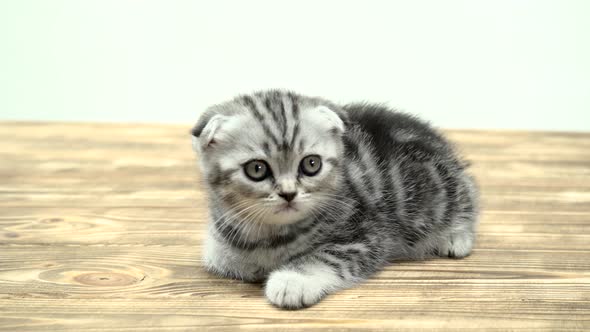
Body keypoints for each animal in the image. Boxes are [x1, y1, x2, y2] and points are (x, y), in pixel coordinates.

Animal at [194, 90, 480, 308]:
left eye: (311, 164)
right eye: (257, 169)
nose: (288, 193)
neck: (272, 234)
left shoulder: (367, 236)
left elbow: (326, 256)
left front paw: (292, 280)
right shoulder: (220, 238)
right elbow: (221, 256)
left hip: (442, 193)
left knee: (468, 196)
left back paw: (455, 236)